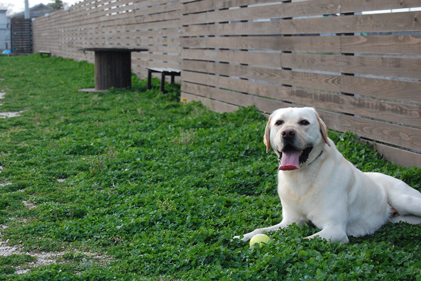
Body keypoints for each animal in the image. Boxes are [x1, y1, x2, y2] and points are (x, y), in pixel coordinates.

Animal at [233, 106, 420, 242]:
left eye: (304, 122)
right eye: (279, 122)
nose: (287, 133)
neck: (301, 177)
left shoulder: (334, 229)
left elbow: (300, 241)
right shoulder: (291, 221)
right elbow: (261, 229)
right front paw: (242, 236)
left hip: (404, 199)